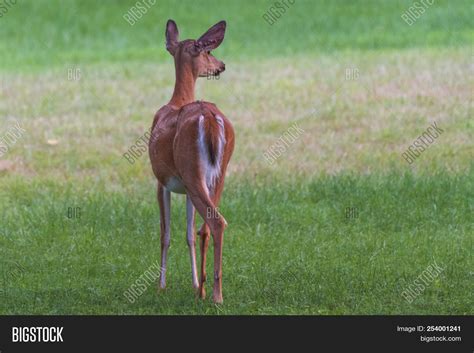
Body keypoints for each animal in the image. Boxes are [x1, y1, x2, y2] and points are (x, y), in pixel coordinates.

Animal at [148, 19, 235, 302]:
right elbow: (188, 234)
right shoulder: (183, 188)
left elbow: (165, 233)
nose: (221, 65)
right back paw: (204, 290)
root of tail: (209, 118)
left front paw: (161, 285)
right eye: (208, 52)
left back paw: (216, 295)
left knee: (216, 222)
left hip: (192, 171)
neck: (177, 101)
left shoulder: (161, 181)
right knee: (206, 227)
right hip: (216, 175)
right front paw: (195, 282)